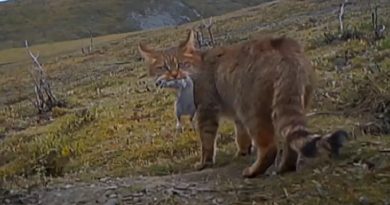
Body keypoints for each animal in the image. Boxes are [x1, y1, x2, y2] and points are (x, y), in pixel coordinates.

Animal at [138, 29, 348, 178]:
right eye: (163, 67)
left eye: (181, 64)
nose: (175, 75)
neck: (199, 63)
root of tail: (283, 48)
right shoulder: (236, 115)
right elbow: (241, 136)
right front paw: (242, 152)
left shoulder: (207, 110)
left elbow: (207, 142)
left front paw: (205, 163)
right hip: (288, 104)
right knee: (290, 142)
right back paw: (284, 168)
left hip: (252, 109)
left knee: (269, 147)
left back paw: (254, 171)